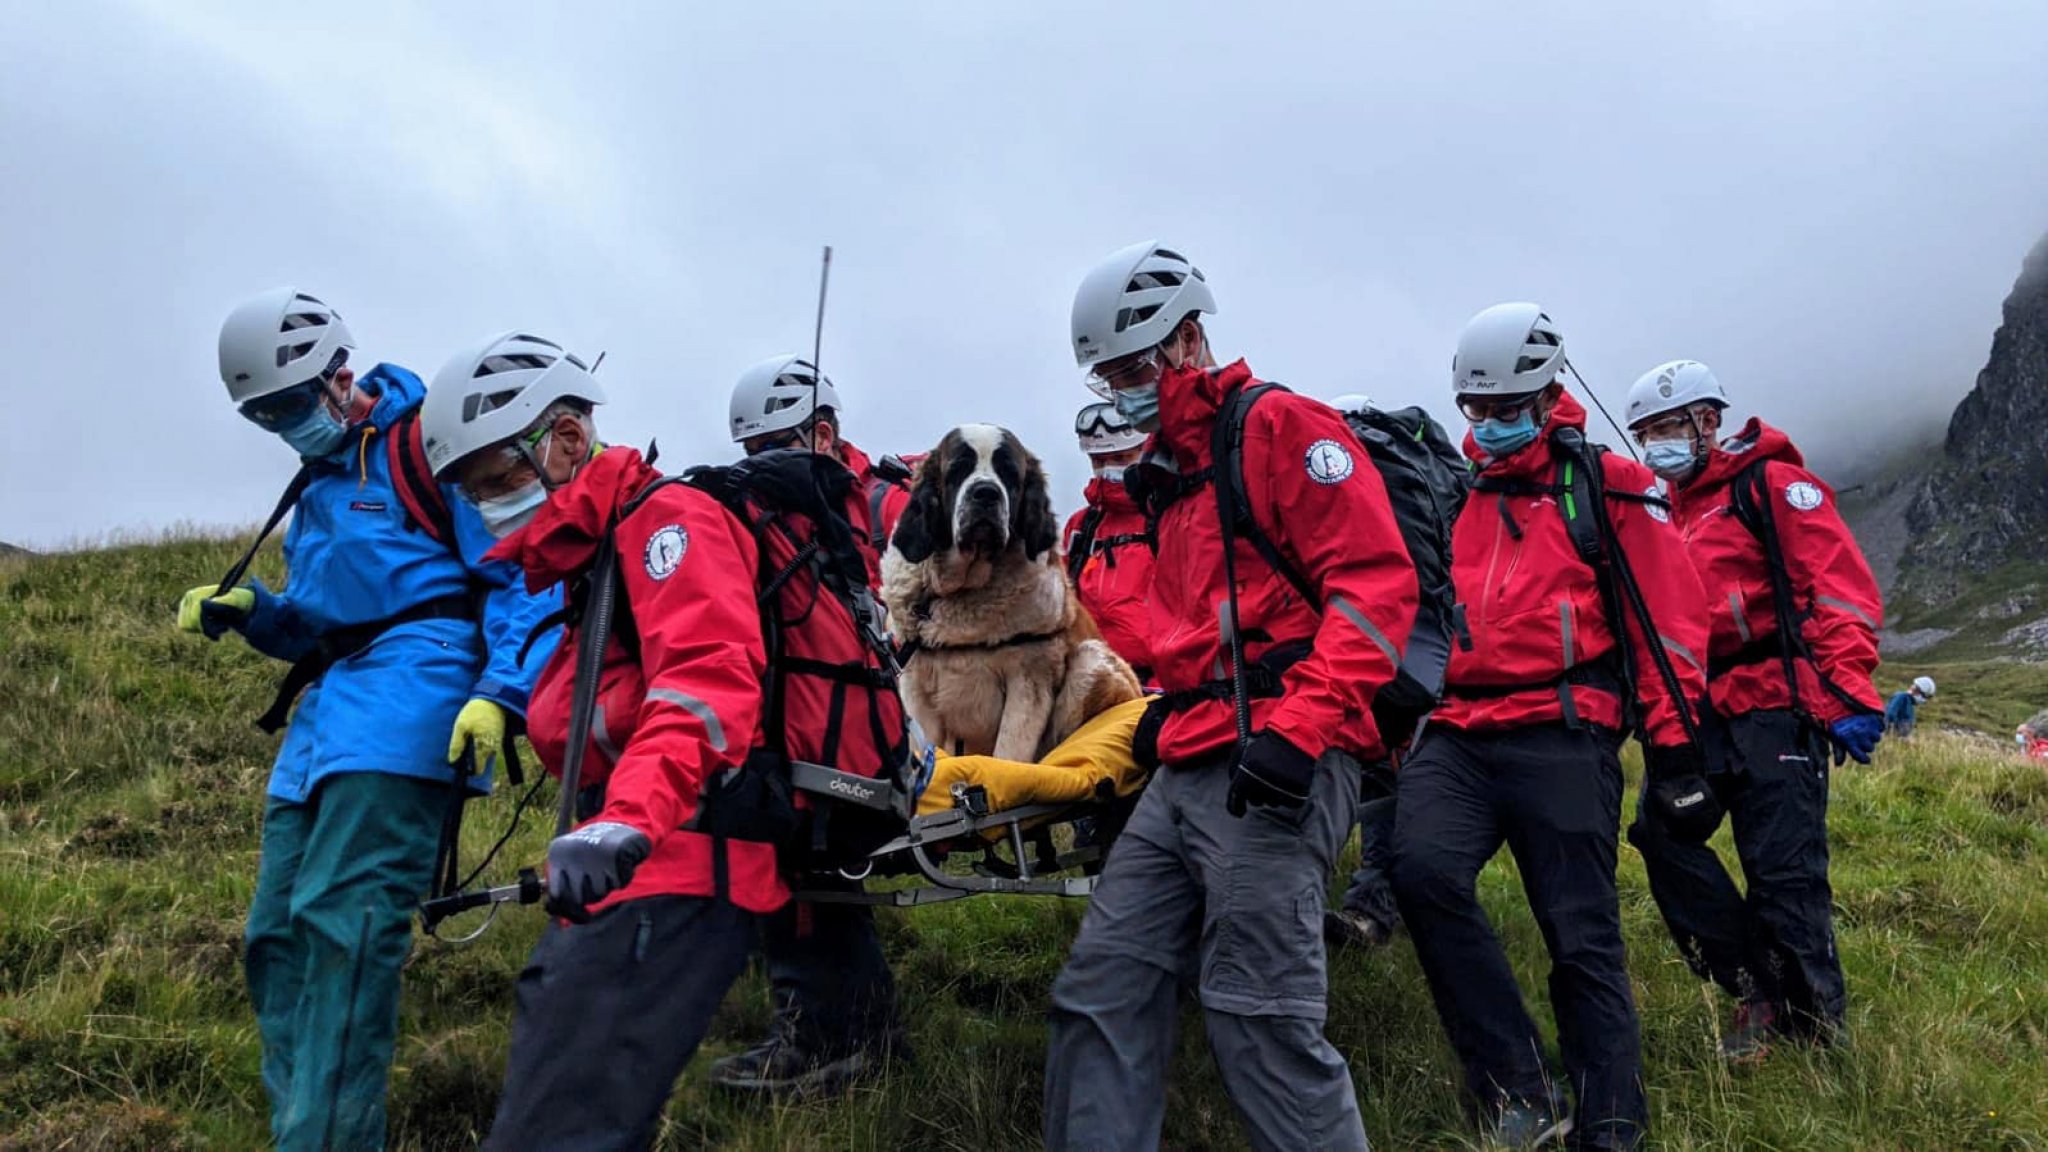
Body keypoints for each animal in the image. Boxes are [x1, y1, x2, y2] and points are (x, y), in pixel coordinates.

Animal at [876, 416, 1146, 758]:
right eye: (958, 469)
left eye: (1008, 473)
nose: (985, 493)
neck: (963, 591)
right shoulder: (915, 687)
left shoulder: (1028, 681)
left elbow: (1009, 753)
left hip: (1092, 662)